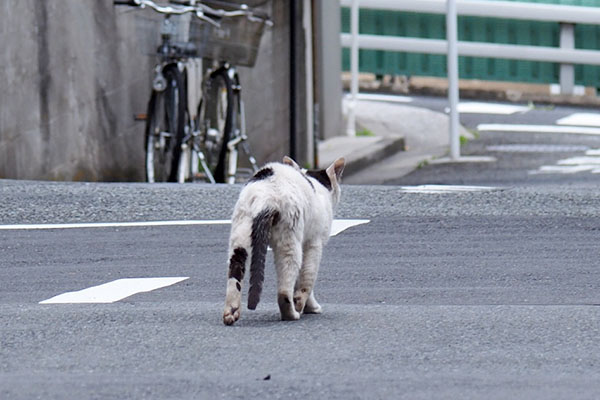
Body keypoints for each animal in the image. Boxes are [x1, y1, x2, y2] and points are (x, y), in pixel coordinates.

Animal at [223, 155, 344, 324]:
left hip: (240, 233)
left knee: (235, 269)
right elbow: (307, 278)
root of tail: (265, 197)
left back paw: (231, 312)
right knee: (286, 283)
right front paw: (307, 306)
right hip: (290, 238)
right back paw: (291, 313)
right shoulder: (314, 242)